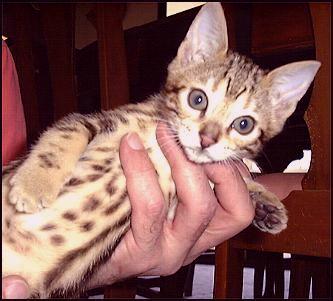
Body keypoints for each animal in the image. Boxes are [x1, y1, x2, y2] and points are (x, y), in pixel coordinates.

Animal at [1, 2, 320, 298]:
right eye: (197, 99)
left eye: (244, 124)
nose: (207, 139)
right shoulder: (96, 120)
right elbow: (66, 134)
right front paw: (33, 186)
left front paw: (265, 202)